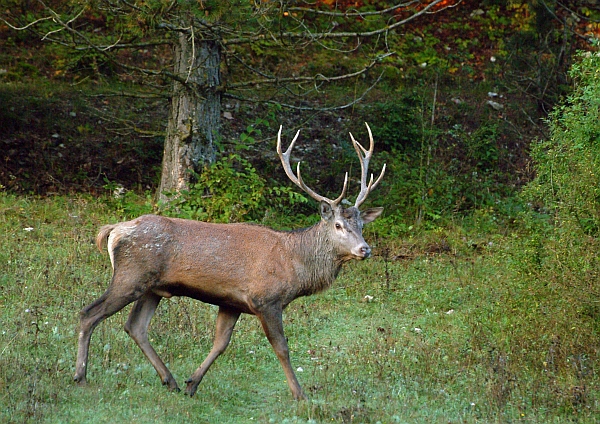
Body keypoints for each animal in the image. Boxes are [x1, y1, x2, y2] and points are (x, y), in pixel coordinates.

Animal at [74, 122, 384, 400]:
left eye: (361, 225)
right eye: (339, 226)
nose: (364, 249)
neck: (294, 264)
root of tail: (114, 230)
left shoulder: (231, 302)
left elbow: (220, 344)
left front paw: (192, 384)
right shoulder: (266, 299)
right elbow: (281, 347)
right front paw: (300, 394)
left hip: (153, 287)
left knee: (135, 326)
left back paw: (170, 380)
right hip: (130, 276)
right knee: (89, 313)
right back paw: (80, 375)